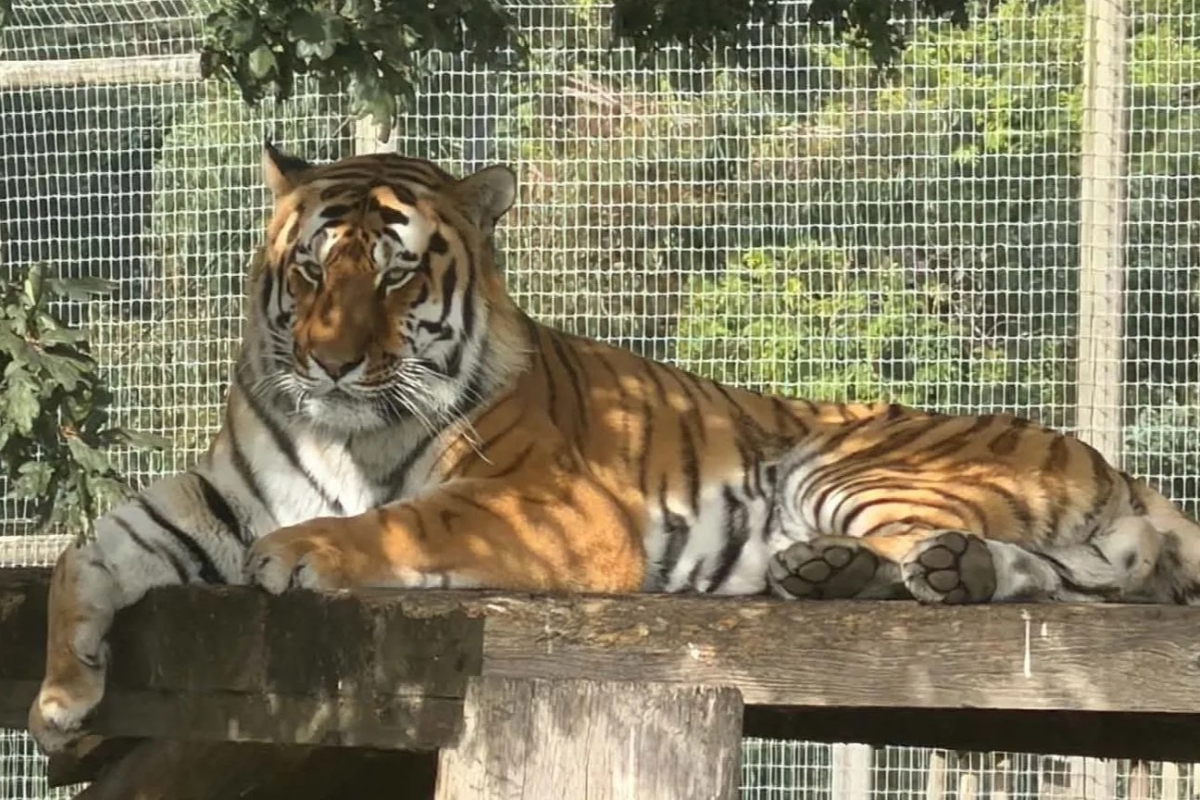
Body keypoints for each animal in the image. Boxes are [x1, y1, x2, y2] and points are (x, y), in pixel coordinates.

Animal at [28, 144, 1200, 755]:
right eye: (314, 269)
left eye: (398, 275)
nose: (329, 360)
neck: (337, 428)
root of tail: (1117, 466)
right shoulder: (215, 494)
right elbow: (89, 552)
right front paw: (62, 705)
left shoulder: (552, 507)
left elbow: (405, 518)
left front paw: (307, 549)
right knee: (1054, 579)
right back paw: (836, 574)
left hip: (847, 463)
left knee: (1008, 575)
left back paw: (902, 571)